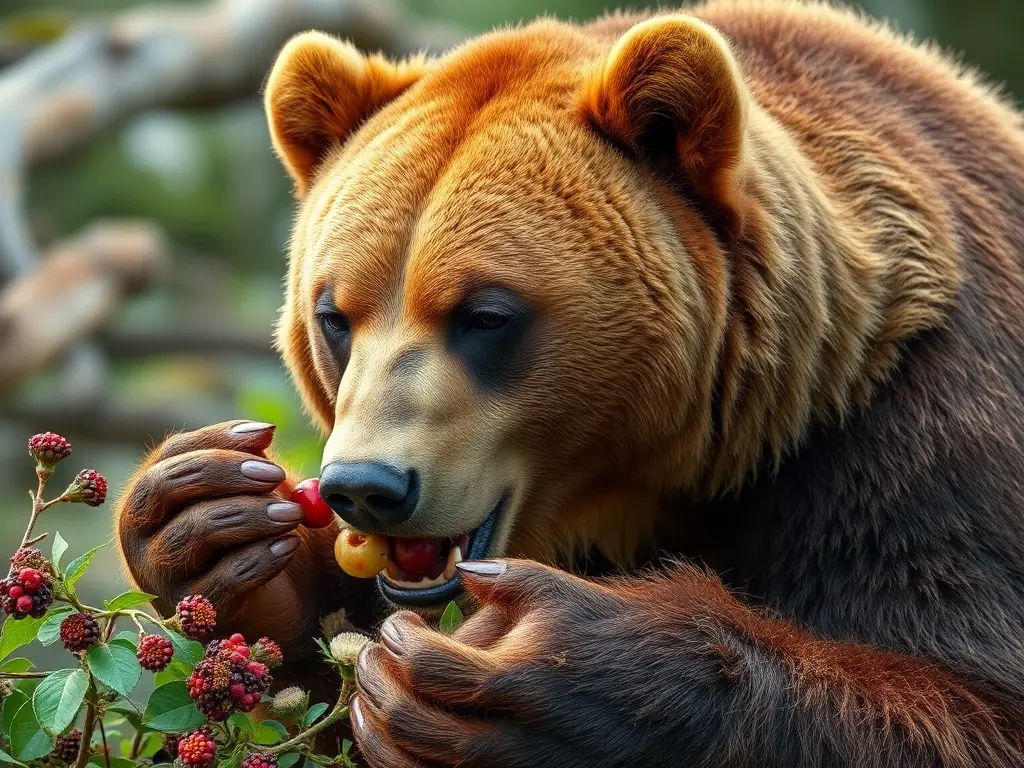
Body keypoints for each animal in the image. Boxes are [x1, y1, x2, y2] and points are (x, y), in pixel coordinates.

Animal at [115, 1, 1024, 765]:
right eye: (335, 314)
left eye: (486, 314)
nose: (366, 485)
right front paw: (210, 524)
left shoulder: (920, 429)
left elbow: (968, 696)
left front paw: (536, 679)